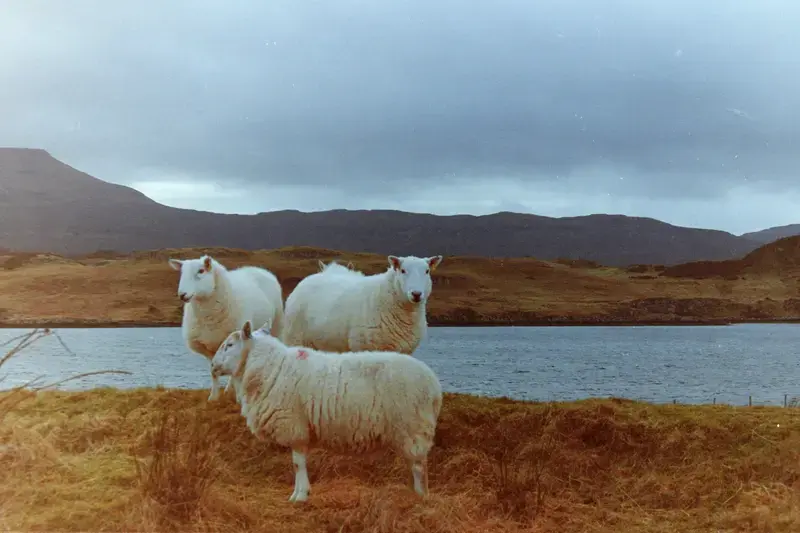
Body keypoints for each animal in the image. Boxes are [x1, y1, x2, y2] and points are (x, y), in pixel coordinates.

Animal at [168, 254, 284, 401]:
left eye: (201, 271)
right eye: (181, 272)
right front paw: (213, 397)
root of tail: (259, 268)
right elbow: (213, 372)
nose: (182, 294)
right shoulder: (208, 348)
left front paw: (229, 392)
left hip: (277, 325)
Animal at [210, 319, 443, 502]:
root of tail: (434, 385)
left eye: (229, 344)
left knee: (419, 467)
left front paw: (300, 496)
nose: (212, 365)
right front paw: (300, 493)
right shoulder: (301, 430)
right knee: (415, 464)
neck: (271, 368)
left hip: (413, 427)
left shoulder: (294, 427)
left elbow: (297, 464)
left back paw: (420, 497)